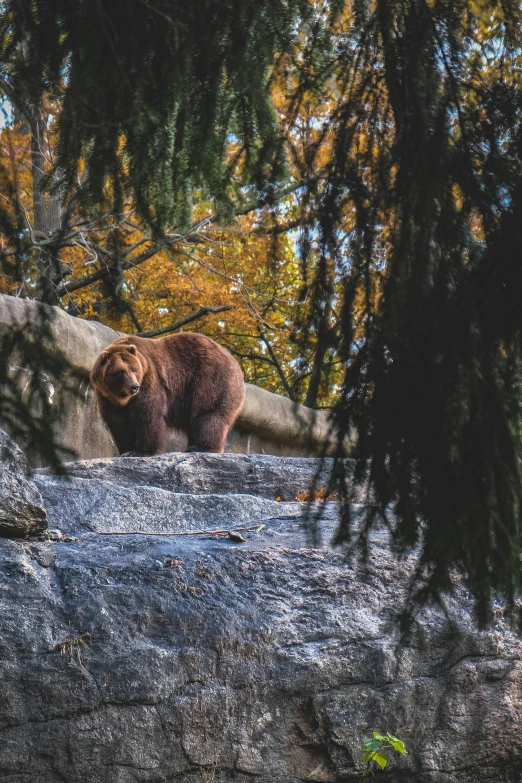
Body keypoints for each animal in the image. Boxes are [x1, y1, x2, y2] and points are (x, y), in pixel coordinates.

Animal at [89, 330, 244, 454]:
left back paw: (202, 447)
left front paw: (140, 451)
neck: (121, 397)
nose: (134, 387)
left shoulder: (149, 380)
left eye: (134, 369)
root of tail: (235, 363)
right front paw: (126, 450)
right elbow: (118, 422)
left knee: (208, 413)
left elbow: (148, 414)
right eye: (120, 372)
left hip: (210, 379)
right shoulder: (107, 398)